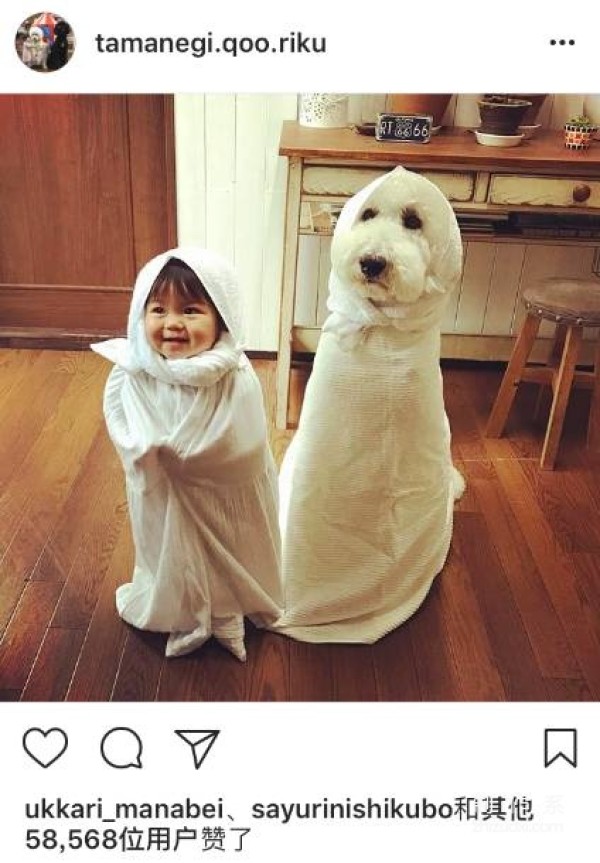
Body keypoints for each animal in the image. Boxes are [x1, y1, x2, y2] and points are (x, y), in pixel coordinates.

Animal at [91, 246, 284, 660]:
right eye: (159, 309)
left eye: (192, 310)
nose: (173, 328)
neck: (182, 370)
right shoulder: (121, 385)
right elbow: (125, 428)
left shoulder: (241, 395)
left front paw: (170, 454)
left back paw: (231, 631)